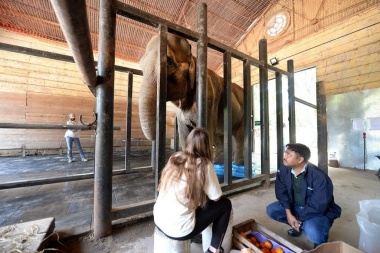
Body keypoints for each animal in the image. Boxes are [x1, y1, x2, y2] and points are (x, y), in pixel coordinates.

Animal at [138, 32, 245, 165]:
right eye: (141, 65)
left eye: (169, 61)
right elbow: (184, 135)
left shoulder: (208, 97)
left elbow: (206, 131)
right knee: (220, 136)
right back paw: (219, 162)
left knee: (239, 135)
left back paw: (238, 164)